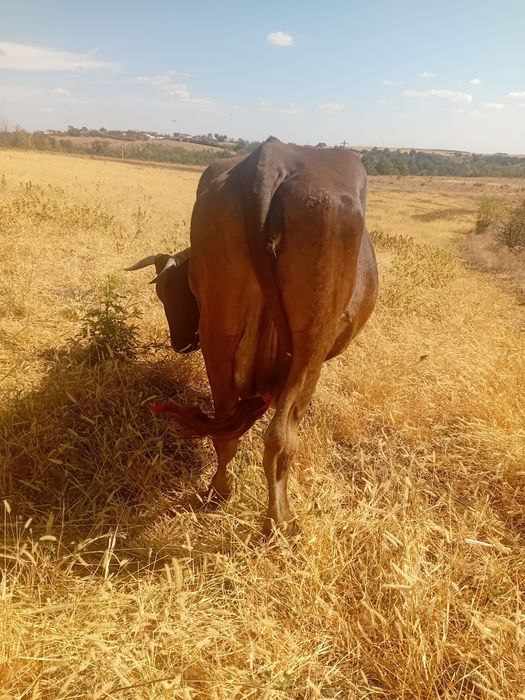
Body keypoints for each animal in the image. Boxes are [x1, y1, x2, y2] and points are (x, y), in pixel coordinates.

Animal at [127, 137, 378, 534]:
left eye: (172, 293)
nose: (179, 342)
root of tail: (271, 156)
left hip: (219, 334)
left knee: (225, 426)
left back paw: (219, 491)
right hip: (309, 346)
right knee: (279, 438)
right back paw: (280, 520)